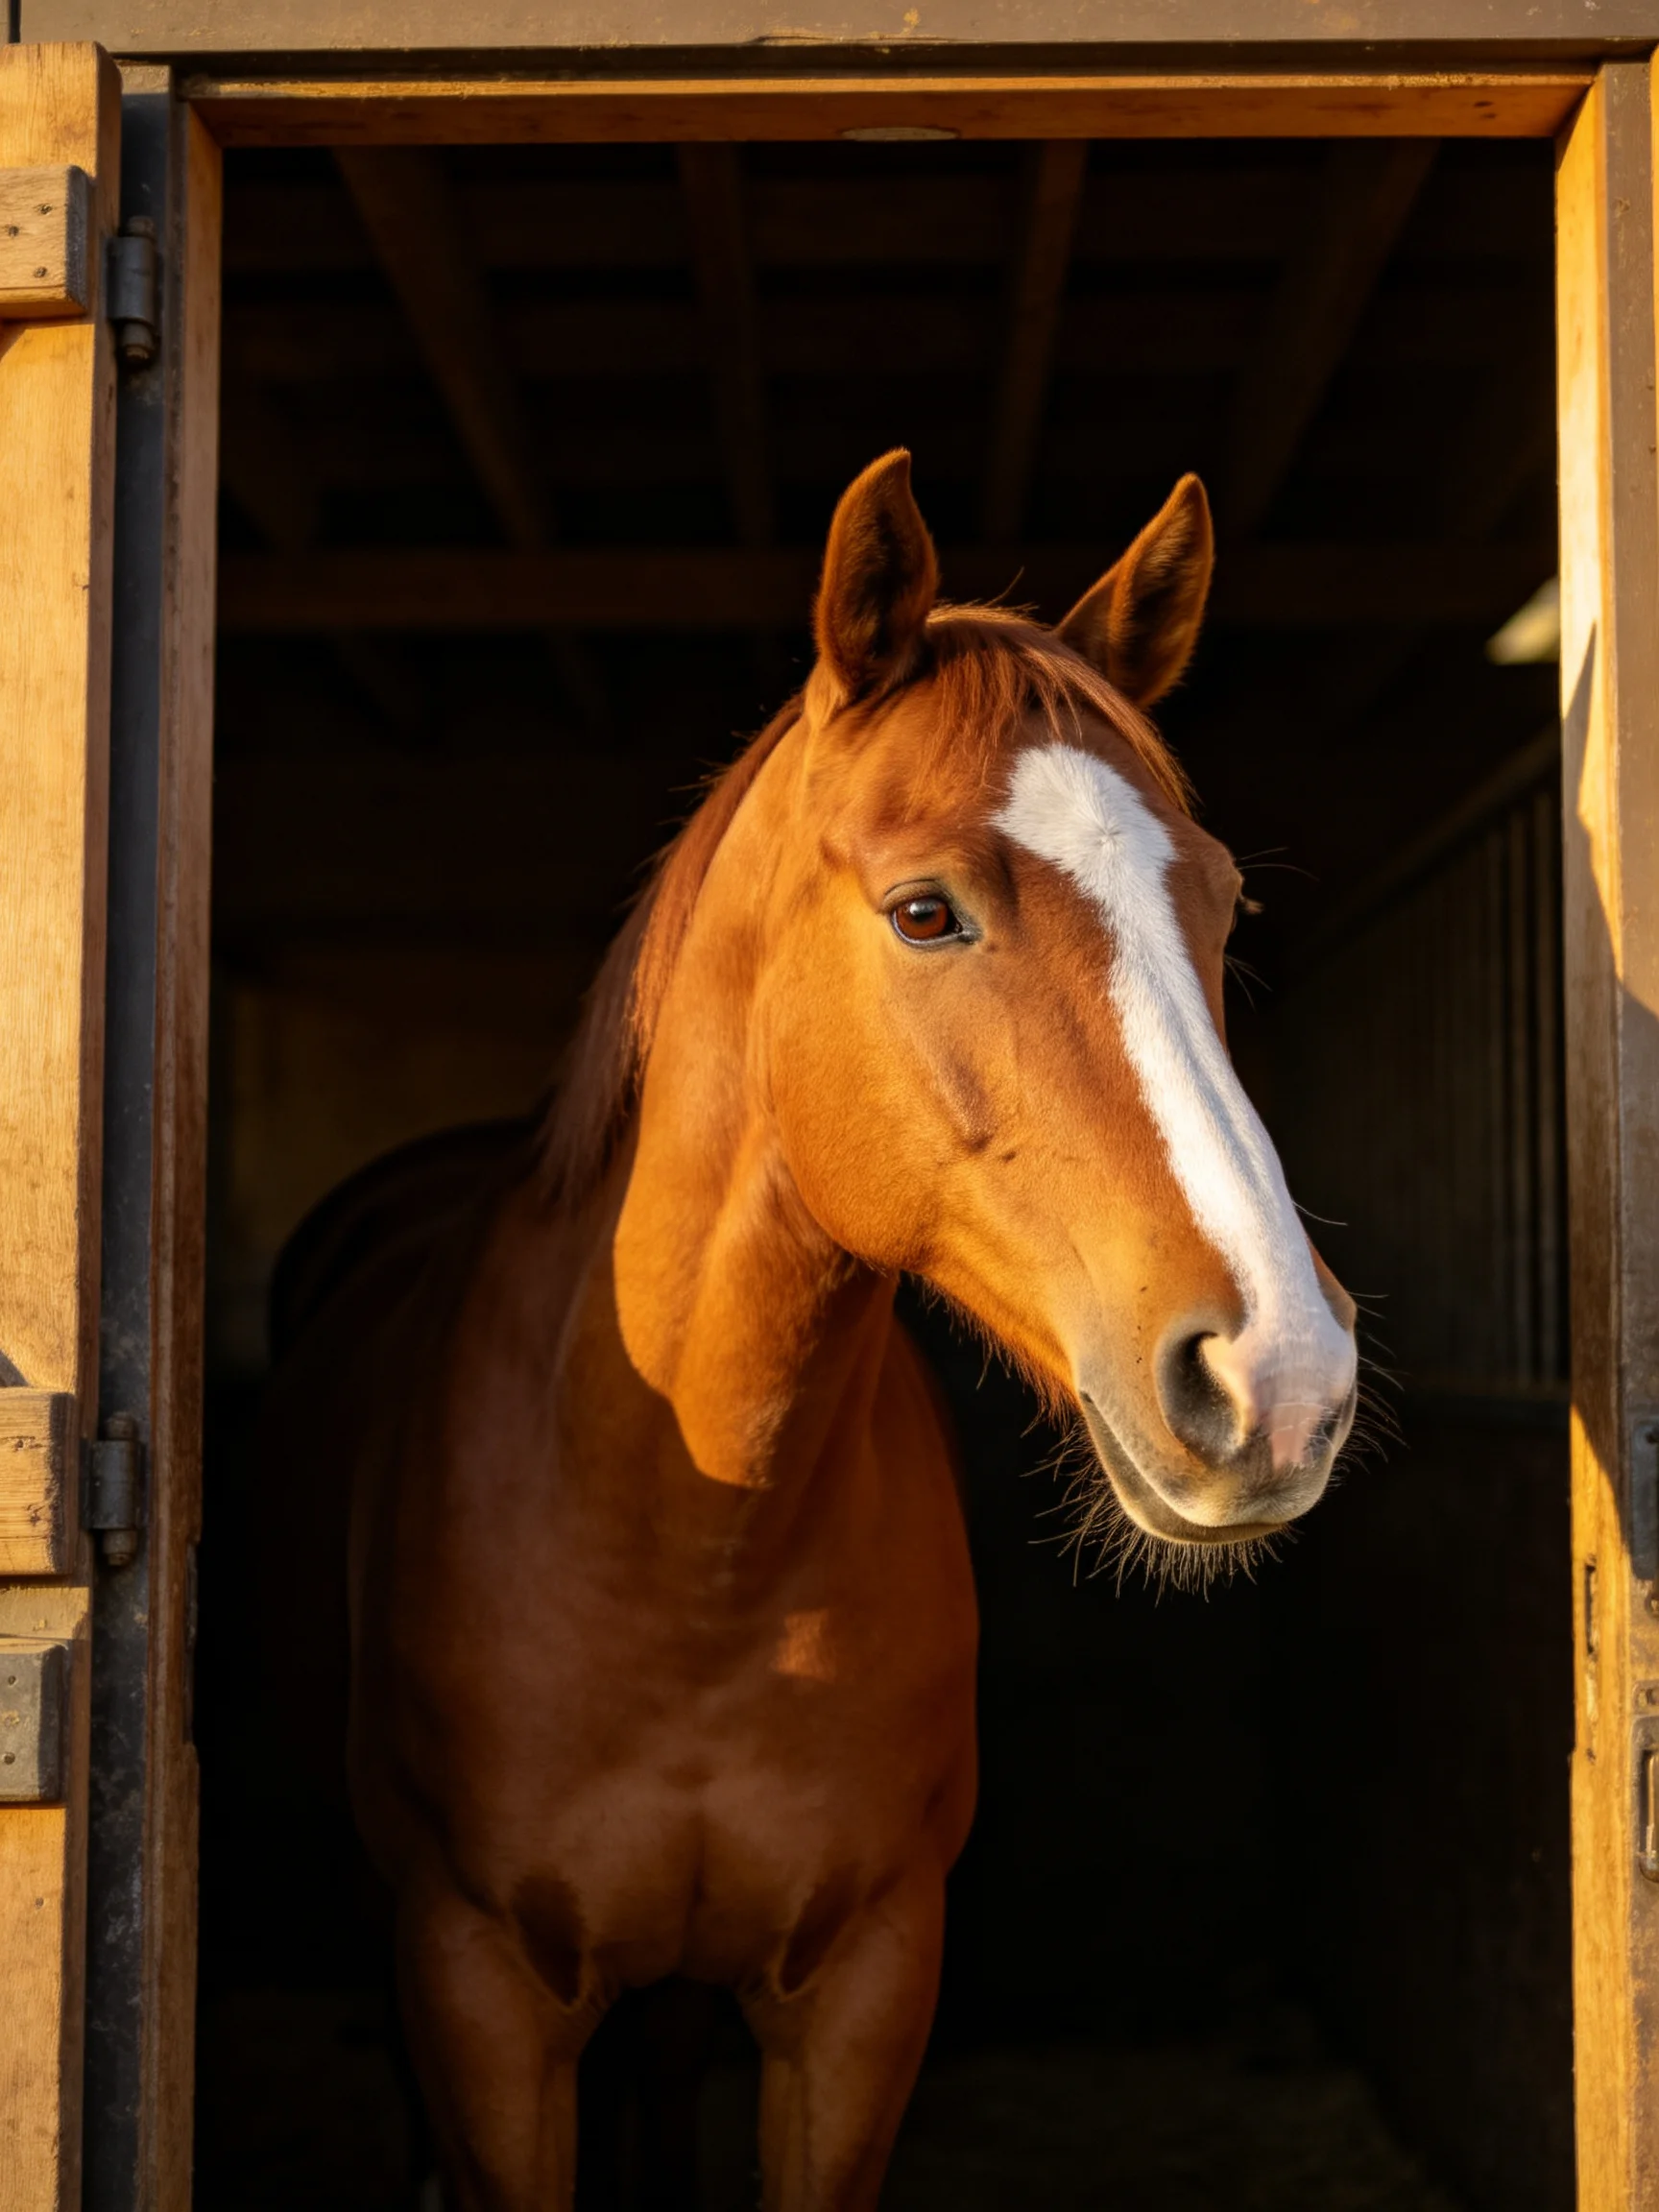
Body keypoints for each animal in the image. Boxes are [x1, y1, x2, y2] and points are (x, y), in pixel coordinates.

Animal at [260, 449, 1358, 2211]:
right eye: (923, 911)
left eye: (1224, 901)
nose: (1279, 1378)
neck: (694, 1541)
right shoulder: (476, 1987)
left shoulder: (860, 1986)